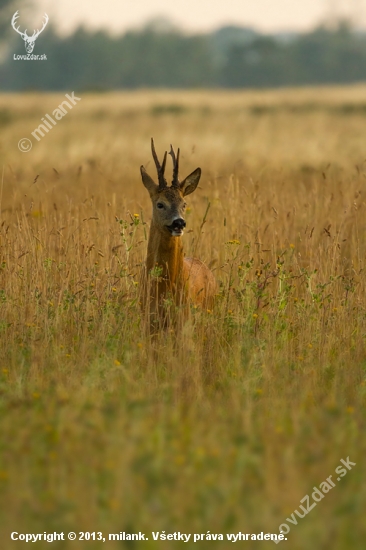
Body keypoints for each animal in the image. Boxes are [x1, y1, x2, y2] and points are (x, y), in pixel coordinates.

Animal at [141, 140, 217, 330]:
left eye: (184, 203)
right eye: (160, 204)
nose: (179, 223)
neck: (163, 287)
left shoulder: (183, 320)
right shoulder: (147, 320)